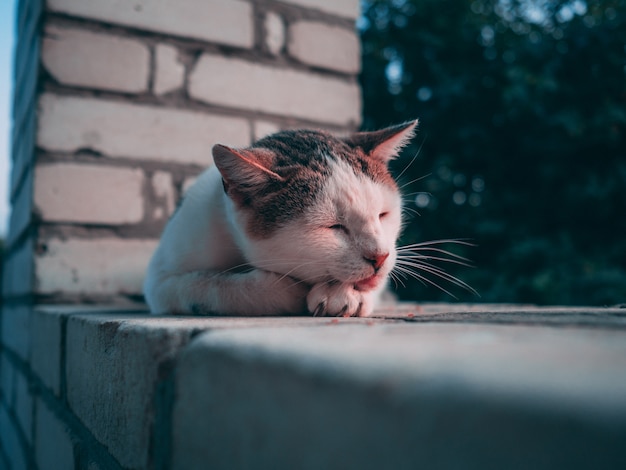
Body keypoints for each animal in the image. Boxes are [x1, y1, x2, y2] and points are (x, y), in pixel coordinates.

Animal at [141, 119, 414, 318]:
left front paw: (344, 294)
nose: (380, 256)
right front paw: (292, 291)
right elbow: (216, 285)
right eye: (333, 226)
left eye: (383, 215)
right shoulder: (161, 282)